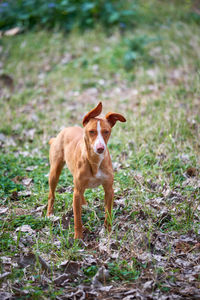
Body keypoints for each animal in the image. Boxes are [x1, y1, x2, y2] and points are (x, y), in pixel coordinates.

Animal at [47, 102, 125, 238]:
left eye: (106, 132)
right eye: (91, 132)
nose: (100, 148)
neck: (94, 161)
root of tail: (63, 131)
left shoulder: (109, 190)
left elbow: (108, 213)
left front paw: (108, 231)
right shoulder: (76, 193)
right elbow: (77, 218)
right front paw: (78, 237)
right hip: (54, 173)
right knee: (51, 194)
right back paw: (49, 214)